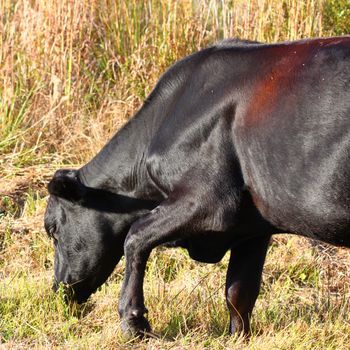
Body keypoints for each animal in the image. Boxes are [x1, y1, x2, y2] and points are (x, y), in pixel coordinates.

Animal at [45, 37, 350, 338]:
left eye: (54, 231)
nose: (58, 292)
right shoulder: (252, 227)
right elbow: (239, 291)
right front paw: (238, 337)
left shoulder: (210, 202)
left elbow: (135, 237)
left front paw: (134, 322)